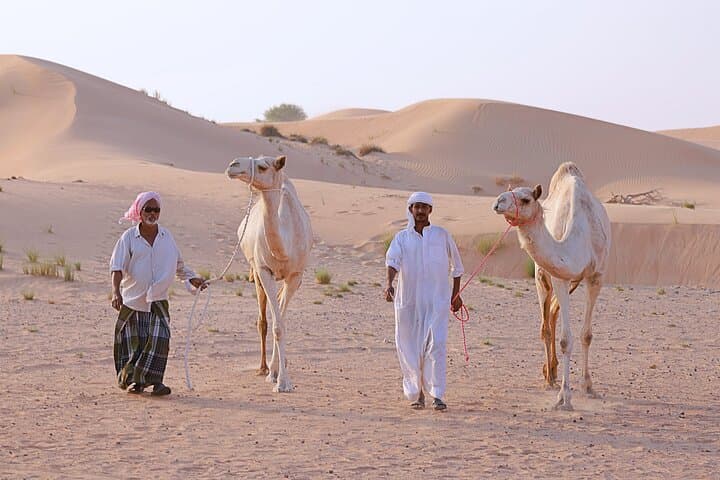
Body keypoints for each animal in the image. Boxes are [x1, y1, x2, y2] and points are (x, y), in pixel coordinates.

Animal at [226, 155, 313, 392]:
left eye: (263, 167)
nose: (233, 165)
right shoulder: (264, 270)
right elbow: (275, 325)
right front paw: (279, 379)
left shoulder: (296, 276)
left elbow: (281, 322)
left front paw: (281, 377)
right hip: (256, 271)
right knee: (263, 320)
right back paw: (264, 367)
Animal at [492, 162, 611, 410]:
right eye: (510, 191)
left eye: (525, 199)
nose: (498, 202)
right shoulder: (559, 277)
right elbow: (565, 339)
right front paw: (564, 397)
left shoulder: (596, 276)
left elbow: (586, 335)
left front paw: (588, 386)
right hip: (541, 277)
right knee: (546, 325)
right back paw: (549, 377)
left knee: (553, 314)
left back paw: (554, 371)